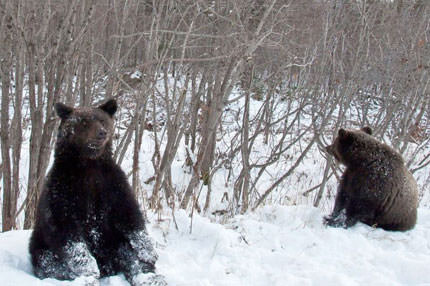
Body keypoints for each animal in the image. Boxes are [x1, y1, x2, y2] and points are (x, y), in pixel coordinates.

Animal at [28, 99, 163, 284]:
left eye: (102, 120)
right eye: (83, 122)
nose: (102, 133)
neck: (89, 164)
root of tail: (109, 267)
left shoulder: (111, 184)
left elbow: (129, 215)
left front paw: (149, 253)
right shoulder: (62, 189)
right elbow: (66, 230)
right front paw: (88, 268)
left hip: (114, 241)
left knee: (130, 256)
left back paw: (148, 277)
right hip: (40, 244)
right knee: (48, 263)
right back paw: (87, 278)